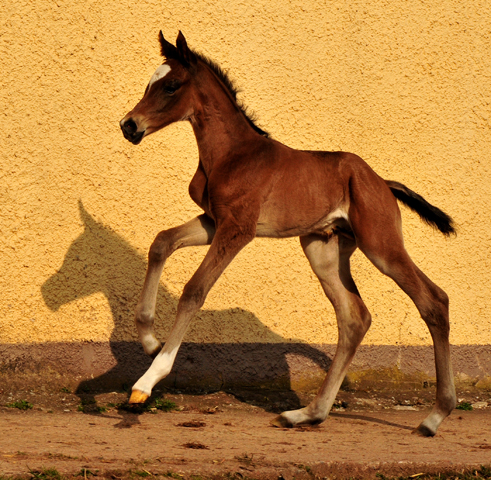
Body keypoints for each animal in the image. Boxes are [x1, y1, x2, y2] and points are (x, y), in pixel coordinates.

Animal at [120, 30, 458, 436]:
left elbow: (195, 290)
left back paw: (435, 416)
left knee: (434, 300)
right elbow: (160, 242)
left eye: (171, 86)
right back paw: (307, 413)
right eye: (148, 84)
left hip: (381, 245)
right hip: (322, 249)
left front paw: (146, 381)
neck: (231, 154)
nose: (129, 126)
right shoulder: (213, 222)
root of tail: (382, 183)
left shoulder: (238, 229)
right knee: (354, 318)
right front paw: (149, 340)